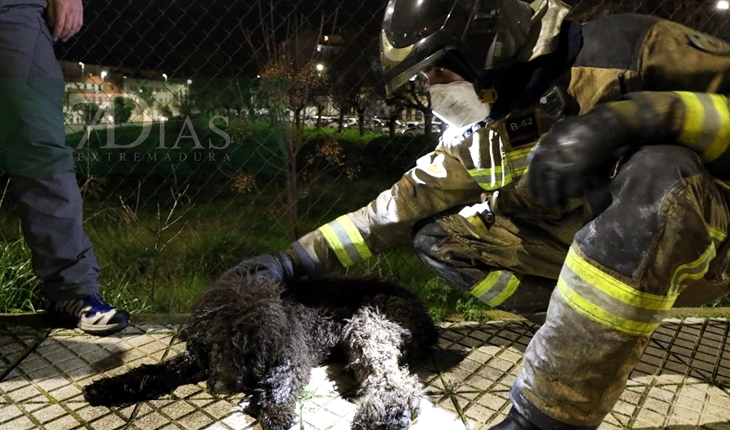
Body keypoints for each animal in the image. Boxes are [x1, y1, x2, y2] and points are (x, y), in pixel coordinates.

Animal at [84, 272, 438, 430]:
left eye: (249, 346)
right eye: (215, 345)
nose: (222, 387)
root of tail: (425, 315)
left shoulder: (293, 356)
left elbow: (280, 386)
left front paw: (276, 416)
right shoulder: (195, 359)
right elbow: (154, 371)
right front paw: (109, 387)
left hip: (369, 327)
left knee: (394, 381)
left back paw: (381, 415)